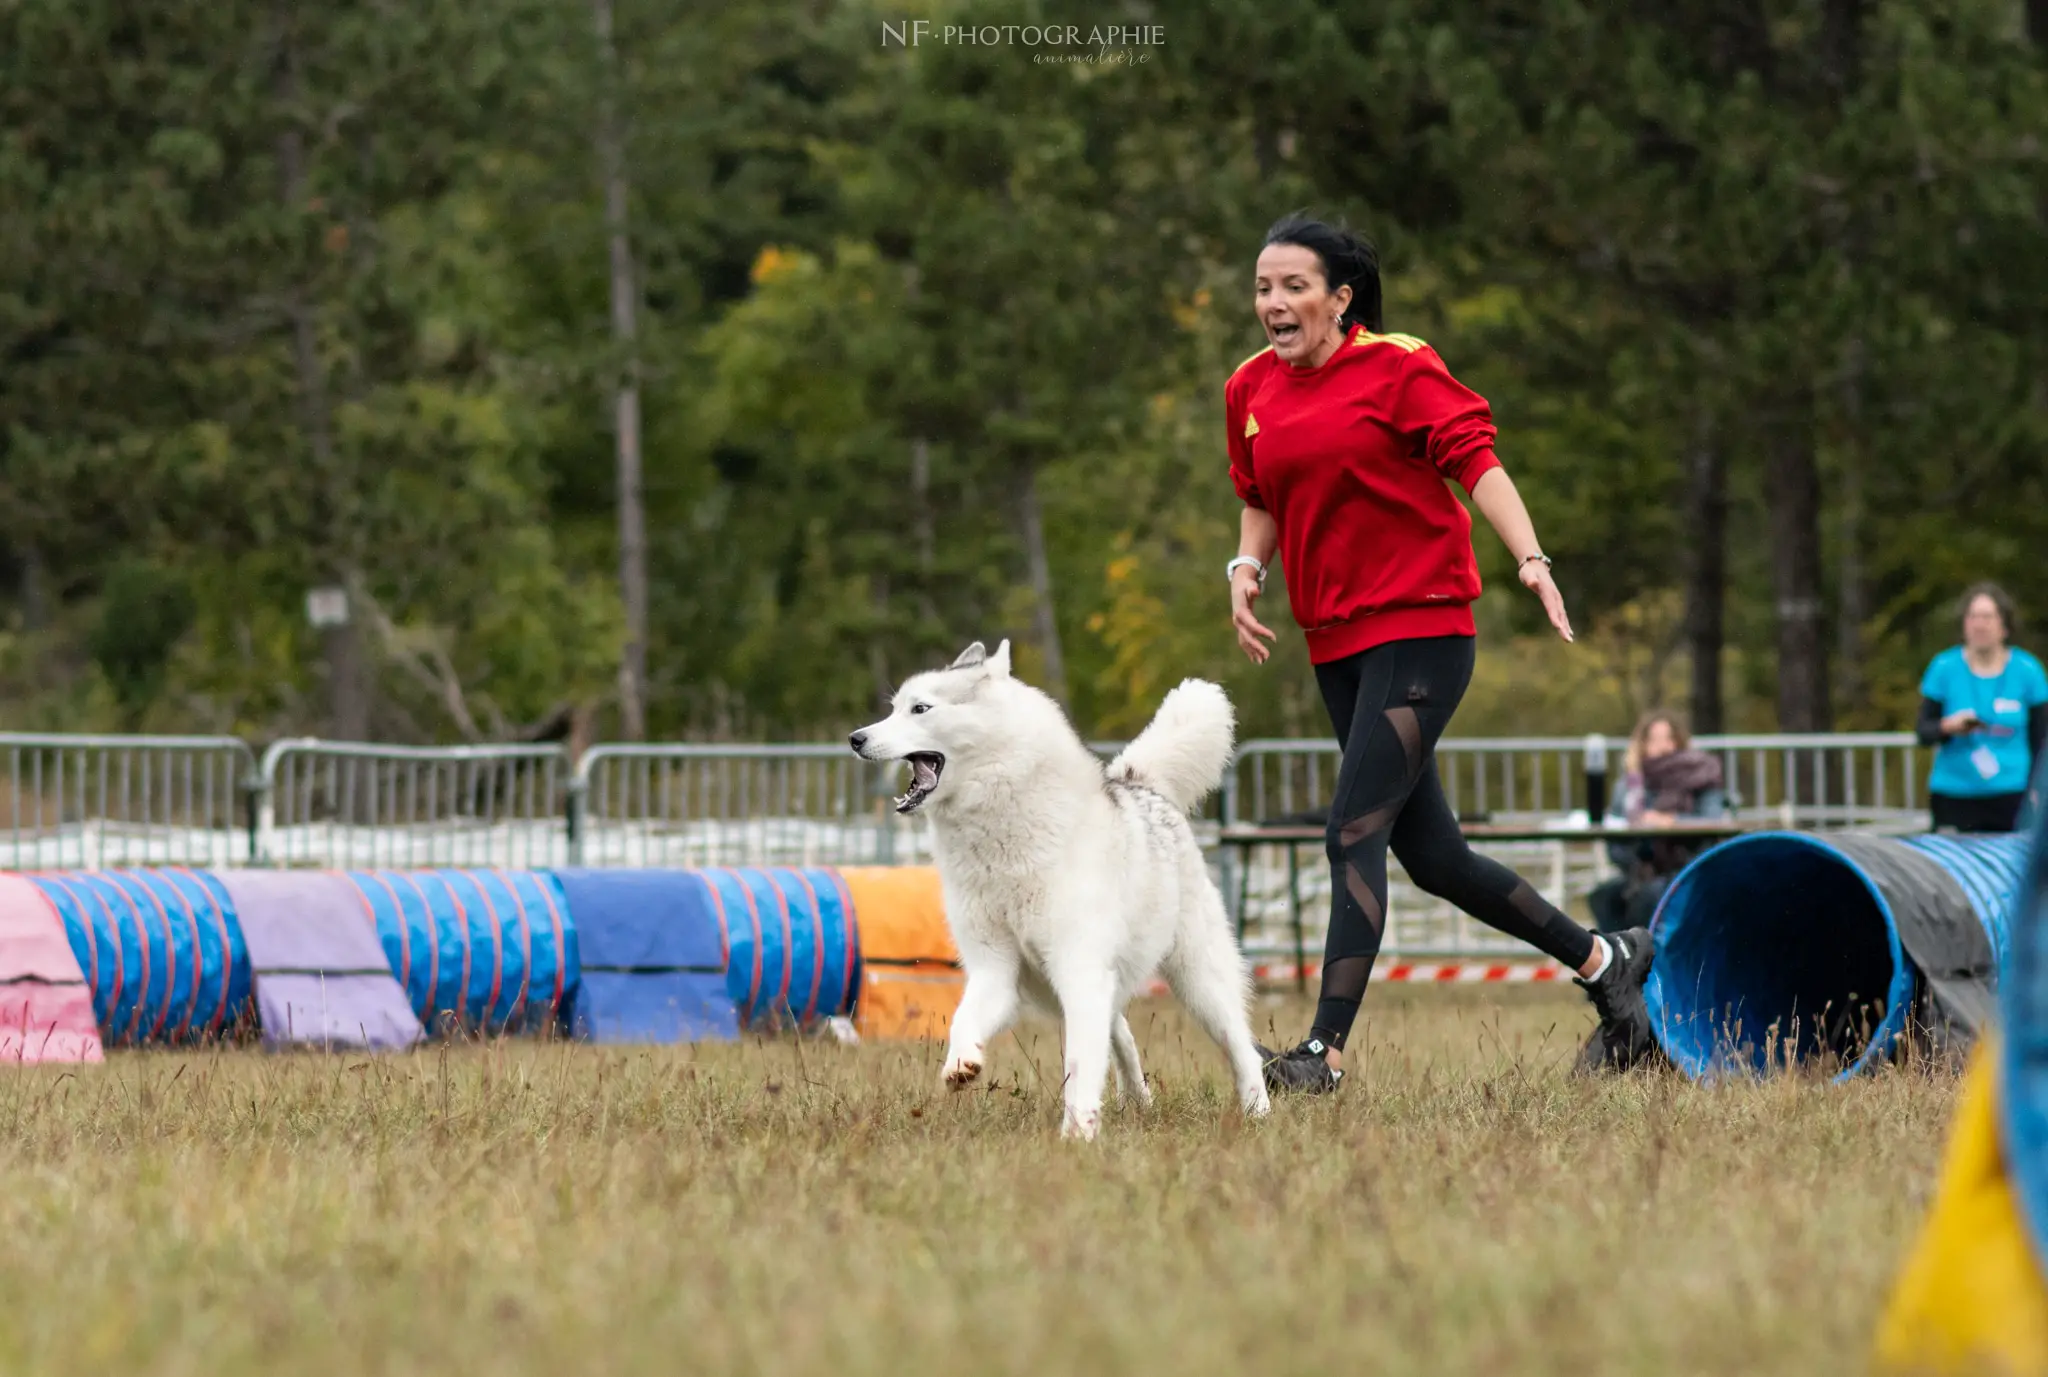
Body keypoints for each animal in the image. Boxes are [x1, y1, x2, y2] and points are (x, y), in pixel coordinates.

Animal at [843, 639, 1261, 1131]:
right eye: (893, 709)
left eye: (920, 709)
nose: (855, 738)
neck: (999, 838)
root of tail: (1140, 785)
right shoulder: (994, 971)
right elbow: (963, 1020)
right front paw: (962, 1063)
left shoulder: (1077, 970)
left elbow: (1079, 1066)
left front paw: (1076, 1134)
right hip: (1109, 986)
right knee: (1123, 1038)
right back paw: (1138, 1102)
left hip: (1198, 979)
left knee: (1242, 1048)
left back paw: (1258, 1110)